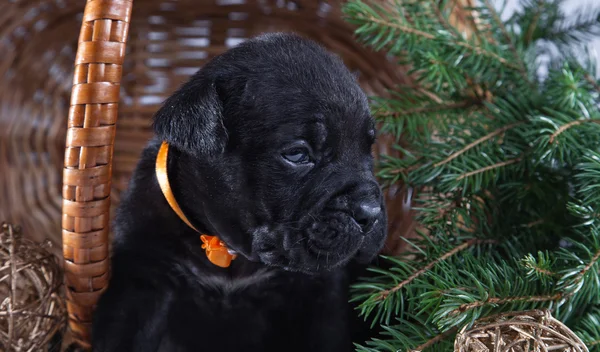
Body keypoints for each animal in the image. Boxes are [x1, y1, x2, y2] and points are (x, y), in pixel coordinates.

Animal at [91, 33, 386, 352]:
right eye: (297, 155)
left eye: (367, 150)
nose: (370, 212)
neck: (232, 252)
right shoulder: (143, 283)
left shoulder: (320, 298)